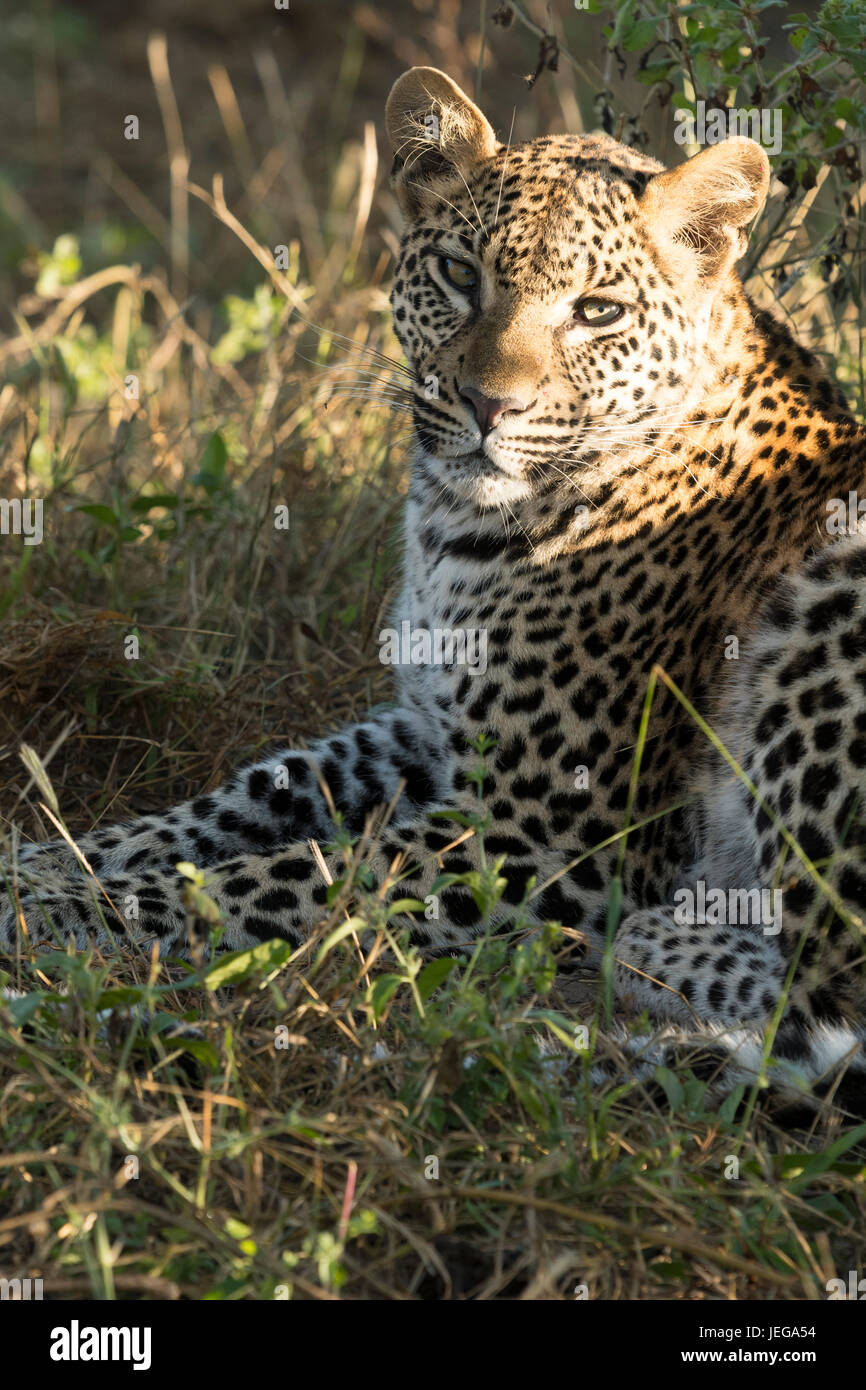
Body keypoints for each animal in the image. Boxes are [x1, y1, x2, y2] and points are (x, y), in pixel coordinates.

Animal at [5, 67, 866, 1114]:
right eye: (460, 274)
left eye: (598, 312)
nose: (490, 405)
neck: (457, 528)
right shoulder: (424, 729)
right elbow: (235, 801)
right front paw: (39, 858)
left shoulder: (543, 831)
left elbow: (284, 877)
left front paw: (51, 905)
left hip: (832, 594)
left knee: (826, 994)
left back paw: (651, 953)